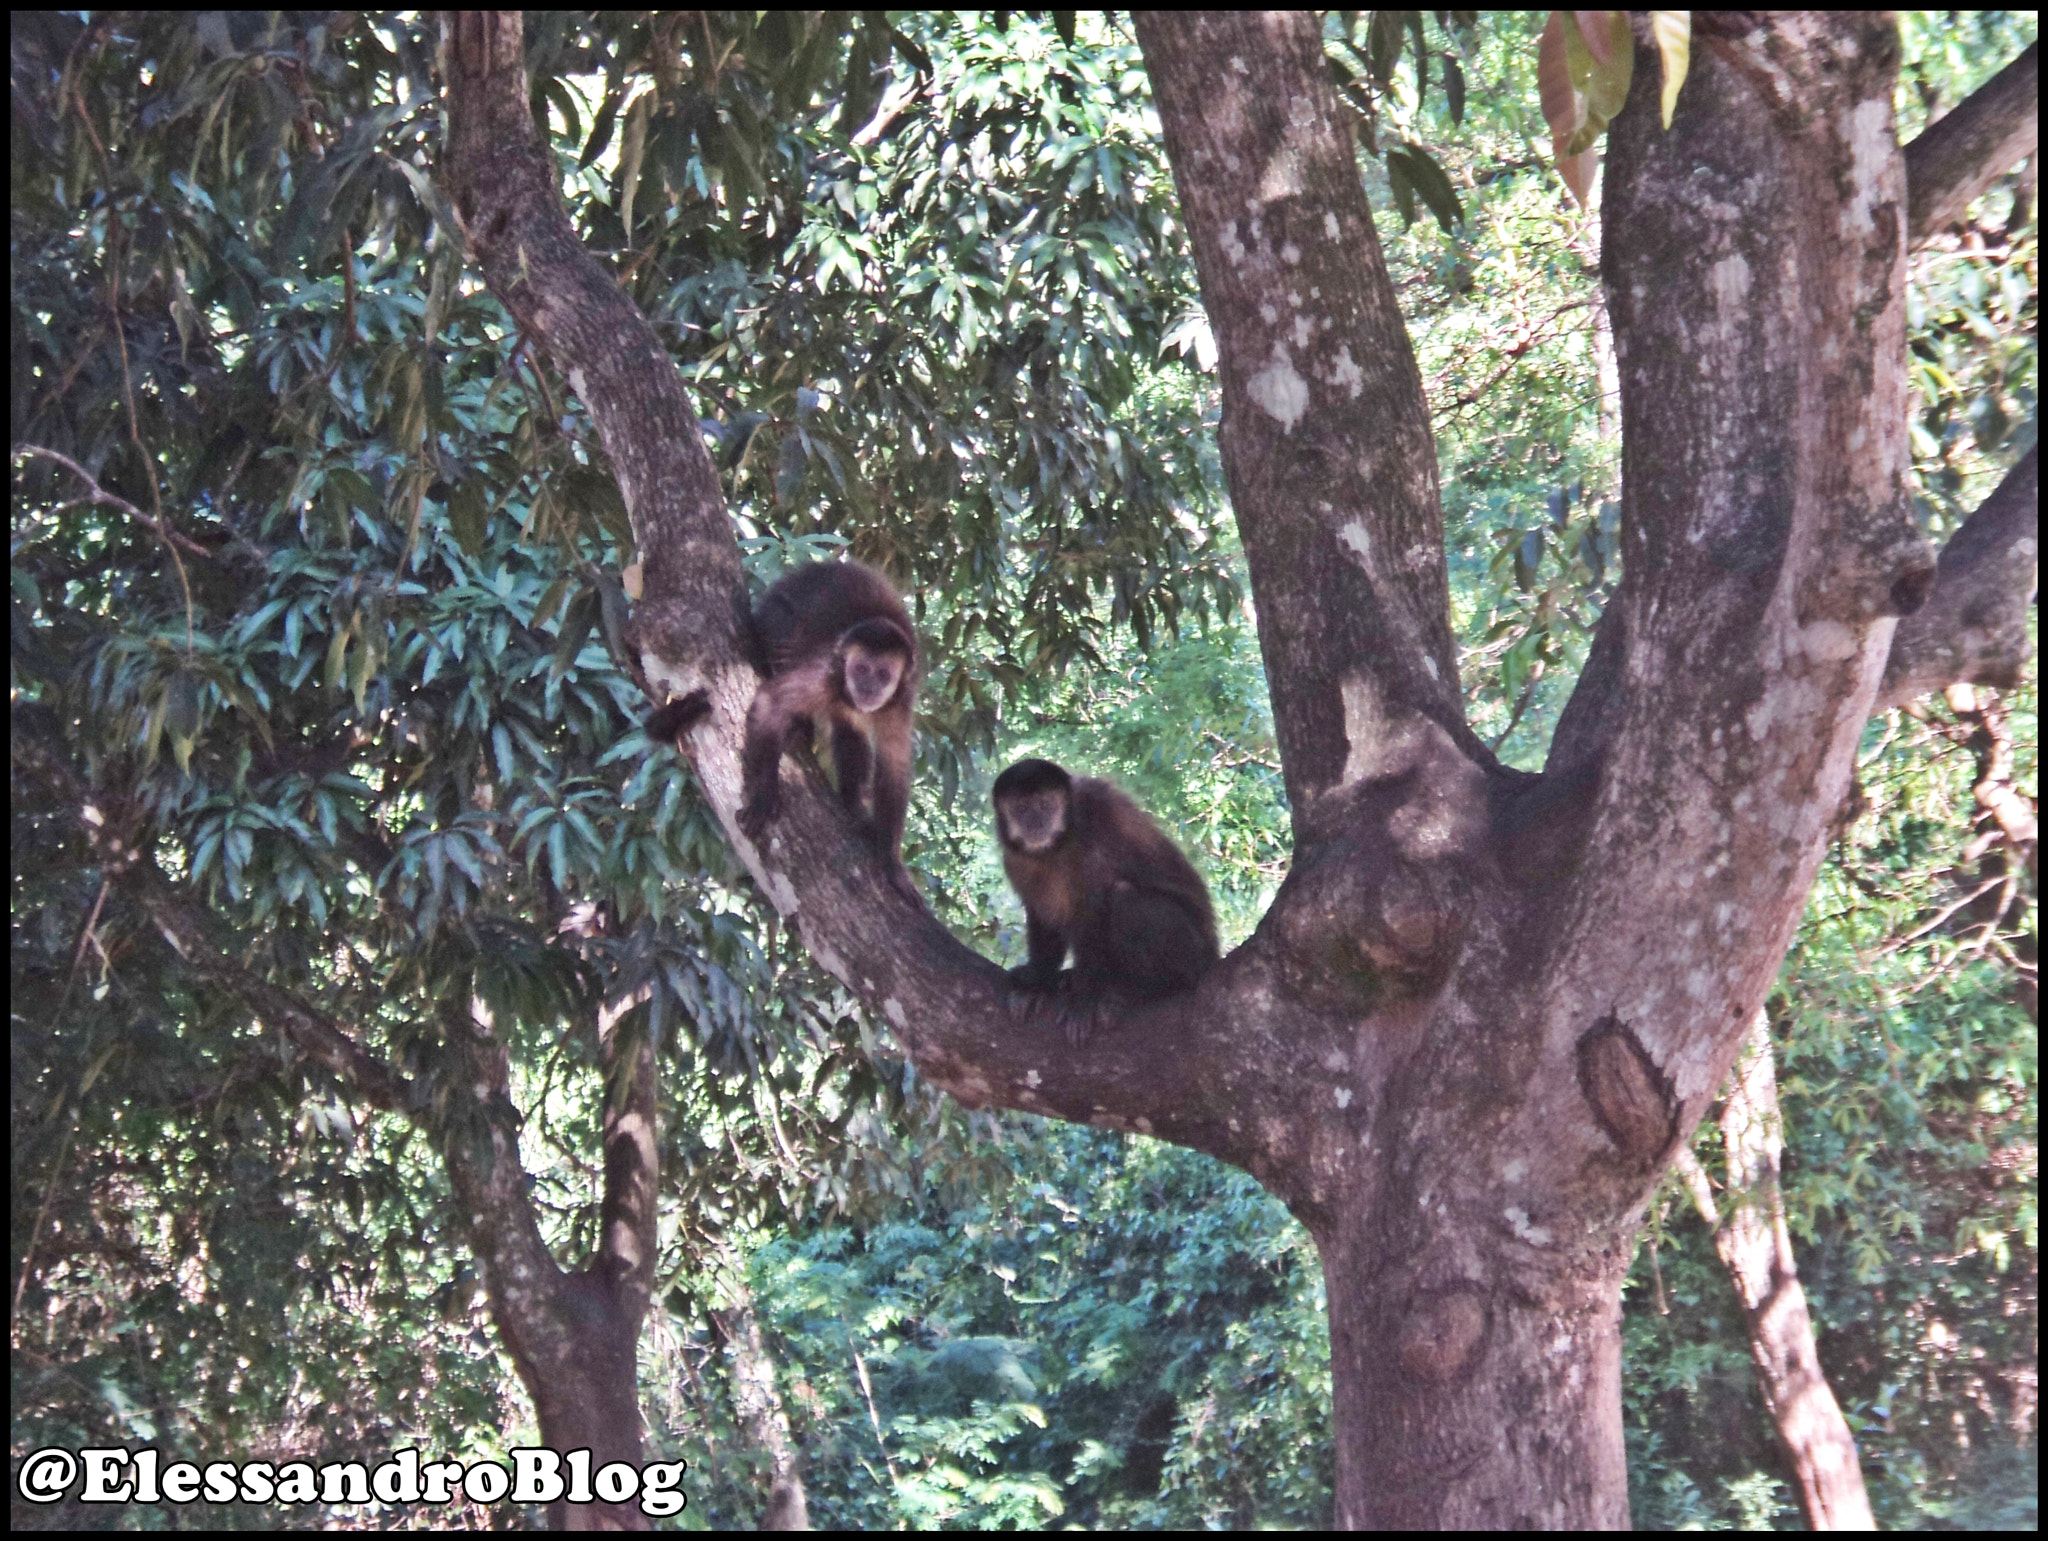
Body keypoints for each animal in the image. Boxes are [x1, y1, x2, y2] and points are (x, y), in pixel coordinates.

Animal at [991, 758, 1212, 1049]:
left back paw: (1144, 989)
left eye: (1045, 805)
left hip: (1195, 956)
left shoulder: (1096, 823)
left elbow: (1091, 916)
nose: (1036, 822)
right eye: (1021, 809)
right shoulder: (1015, 859)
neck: (1060, 843)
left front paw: (1085, 999)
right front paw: (1038, 980)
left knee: (1125, 898)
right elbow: (1043, 915)